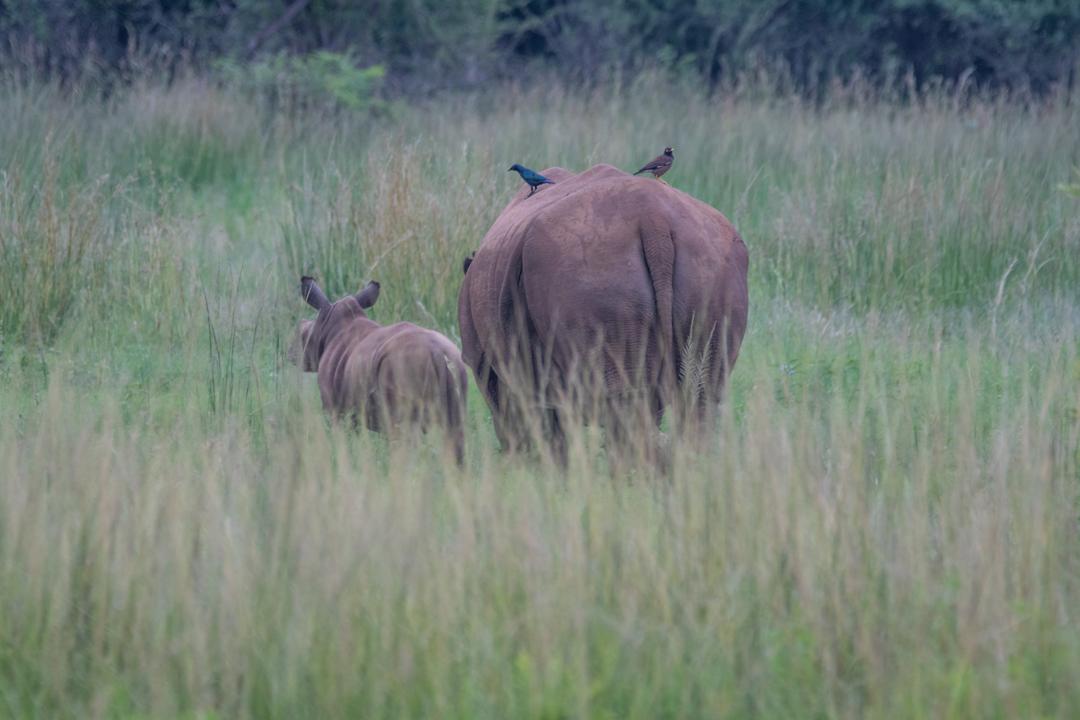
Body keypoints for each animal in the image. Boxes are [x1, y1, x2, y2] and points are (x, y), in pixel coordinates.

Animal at [291, 273, 468, 464]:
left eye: (302, 336)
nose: (290, 351)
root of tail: (437, 353)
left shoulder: (336, 411)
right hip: (456, 364)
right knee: (455, 436)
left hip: (402, 368)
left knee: (403, 440)